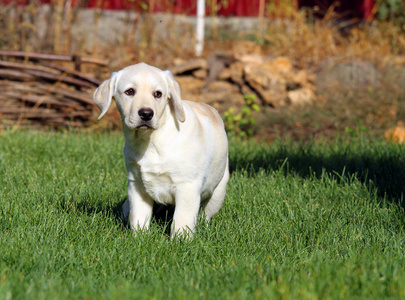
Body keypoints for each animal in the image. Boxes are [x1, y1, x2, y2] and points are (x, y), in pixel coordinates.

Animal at [92, 63, 229, 239]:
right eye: (130, 91)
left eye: (158, 94)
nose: (146, 113)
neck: (150, 140)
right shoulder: (136, 184)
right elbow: (138, 216)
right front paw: (139, 238)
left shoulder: (187, 186)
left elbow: (182, 219)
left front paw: (181, 240)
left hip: (218, 190)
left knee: (205, 214)